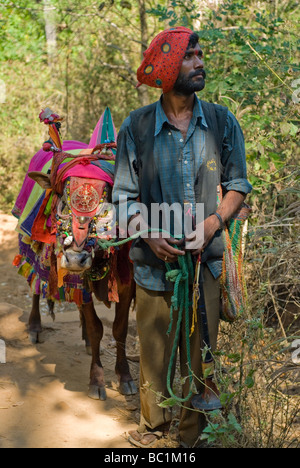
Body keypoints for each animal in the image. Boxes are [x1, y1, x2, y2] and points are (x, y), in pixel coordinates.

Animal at [12, 108, 137, 400]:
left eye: (106, 204)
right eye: (64, 204)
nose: (75, 259)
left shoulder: (127, 284)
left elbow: (119, 329)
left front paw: (125, 377)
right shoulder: (78, 277)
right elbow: (97, 328)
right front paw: (97, 381)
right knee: (36, 284)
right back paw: (35, 326)